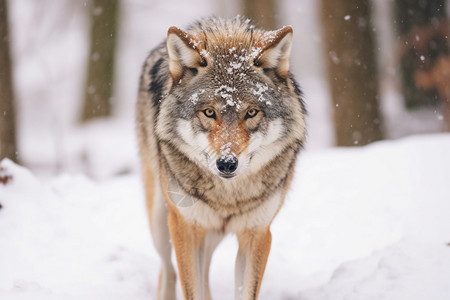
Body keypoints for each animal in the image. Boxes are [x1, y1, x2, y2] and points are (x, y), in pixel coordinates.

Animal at [135, 17, 308, 300]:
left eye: (251, 112)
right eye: (209, 112)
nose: (227, 163)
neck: (227, 197)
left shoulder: (258, 233)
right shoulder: (185, 227)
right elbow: (191, 289)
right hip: (161, 221)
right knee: (167, 270)